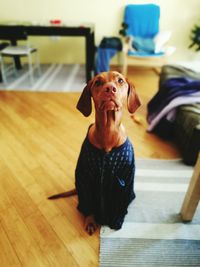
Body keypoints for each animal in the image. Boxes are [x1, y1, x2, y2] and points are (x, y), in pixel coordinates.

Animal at [48, 71, 141, 237]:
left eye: (120, 80)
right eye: (98, 82)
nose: (110, 89)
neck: (108, 132)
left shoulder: (125, 178)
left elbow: (120, 201)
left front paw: (117, 220)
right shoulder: (85, 177)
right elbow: (88, 202)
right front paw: (90, 221)